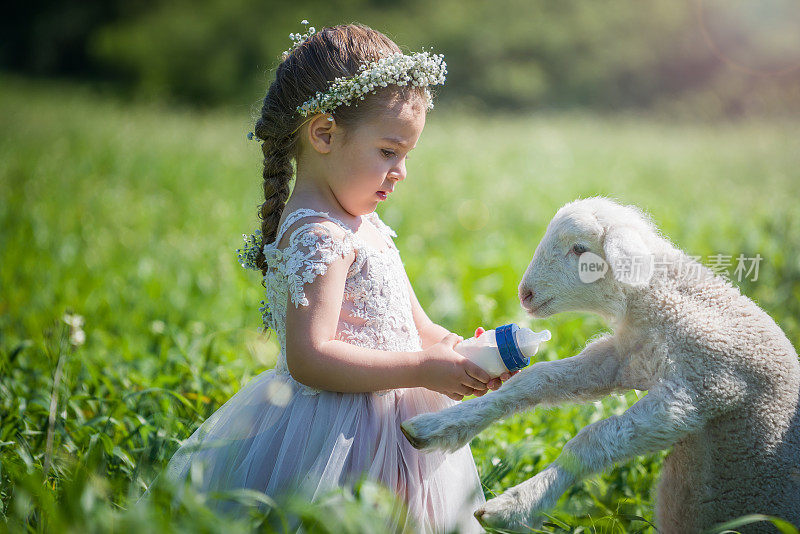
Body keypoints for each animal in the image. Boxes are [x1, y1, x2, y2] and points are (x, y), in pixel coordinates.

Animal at [400, 199, 800, 532]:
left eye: (580, 249)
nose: (524, 294)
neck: (668, 307)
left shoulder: (697, 391)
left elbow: (593, 438)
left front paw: (515, 506)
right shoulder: (625, 360)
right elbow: (535, 381)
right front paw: (438, 425)